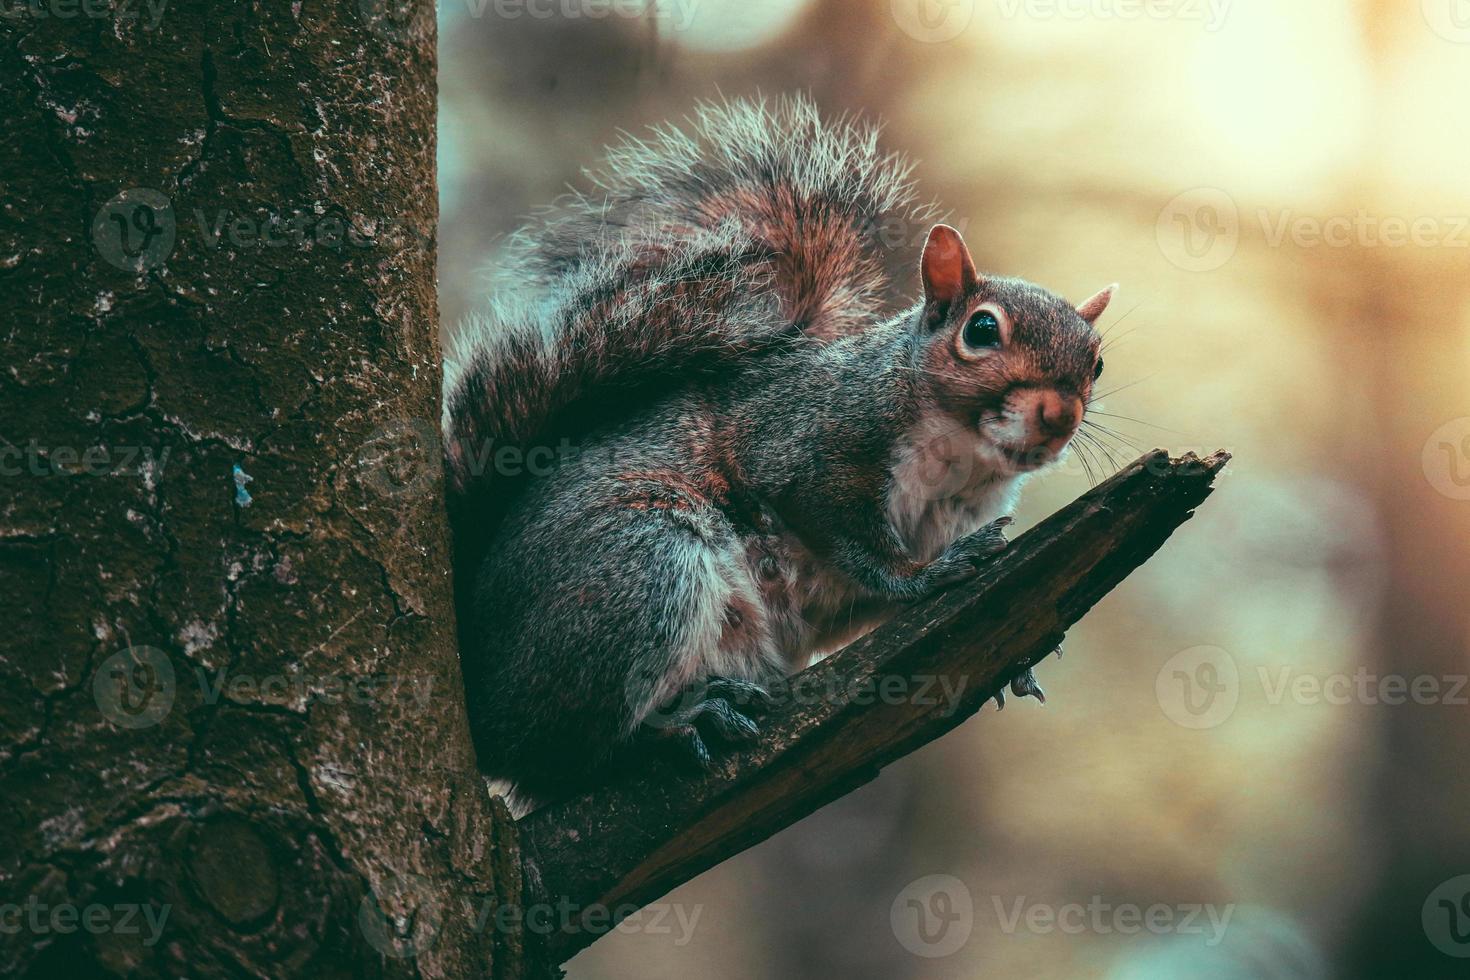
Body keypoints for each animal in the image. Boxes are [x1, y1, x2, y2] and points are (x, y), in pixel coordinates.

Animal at [438, 97, 1111, 805]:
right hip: (641, 568)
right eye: (981, 330)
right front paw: (922, 575)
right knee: (569, 755)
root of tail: (483, 701)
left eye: (1096, 363)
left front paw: (1018, 656)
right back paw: (678, 724)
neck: (960, 461)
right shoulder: (803, 448)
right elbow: (861, 548)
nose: (1060, 415)